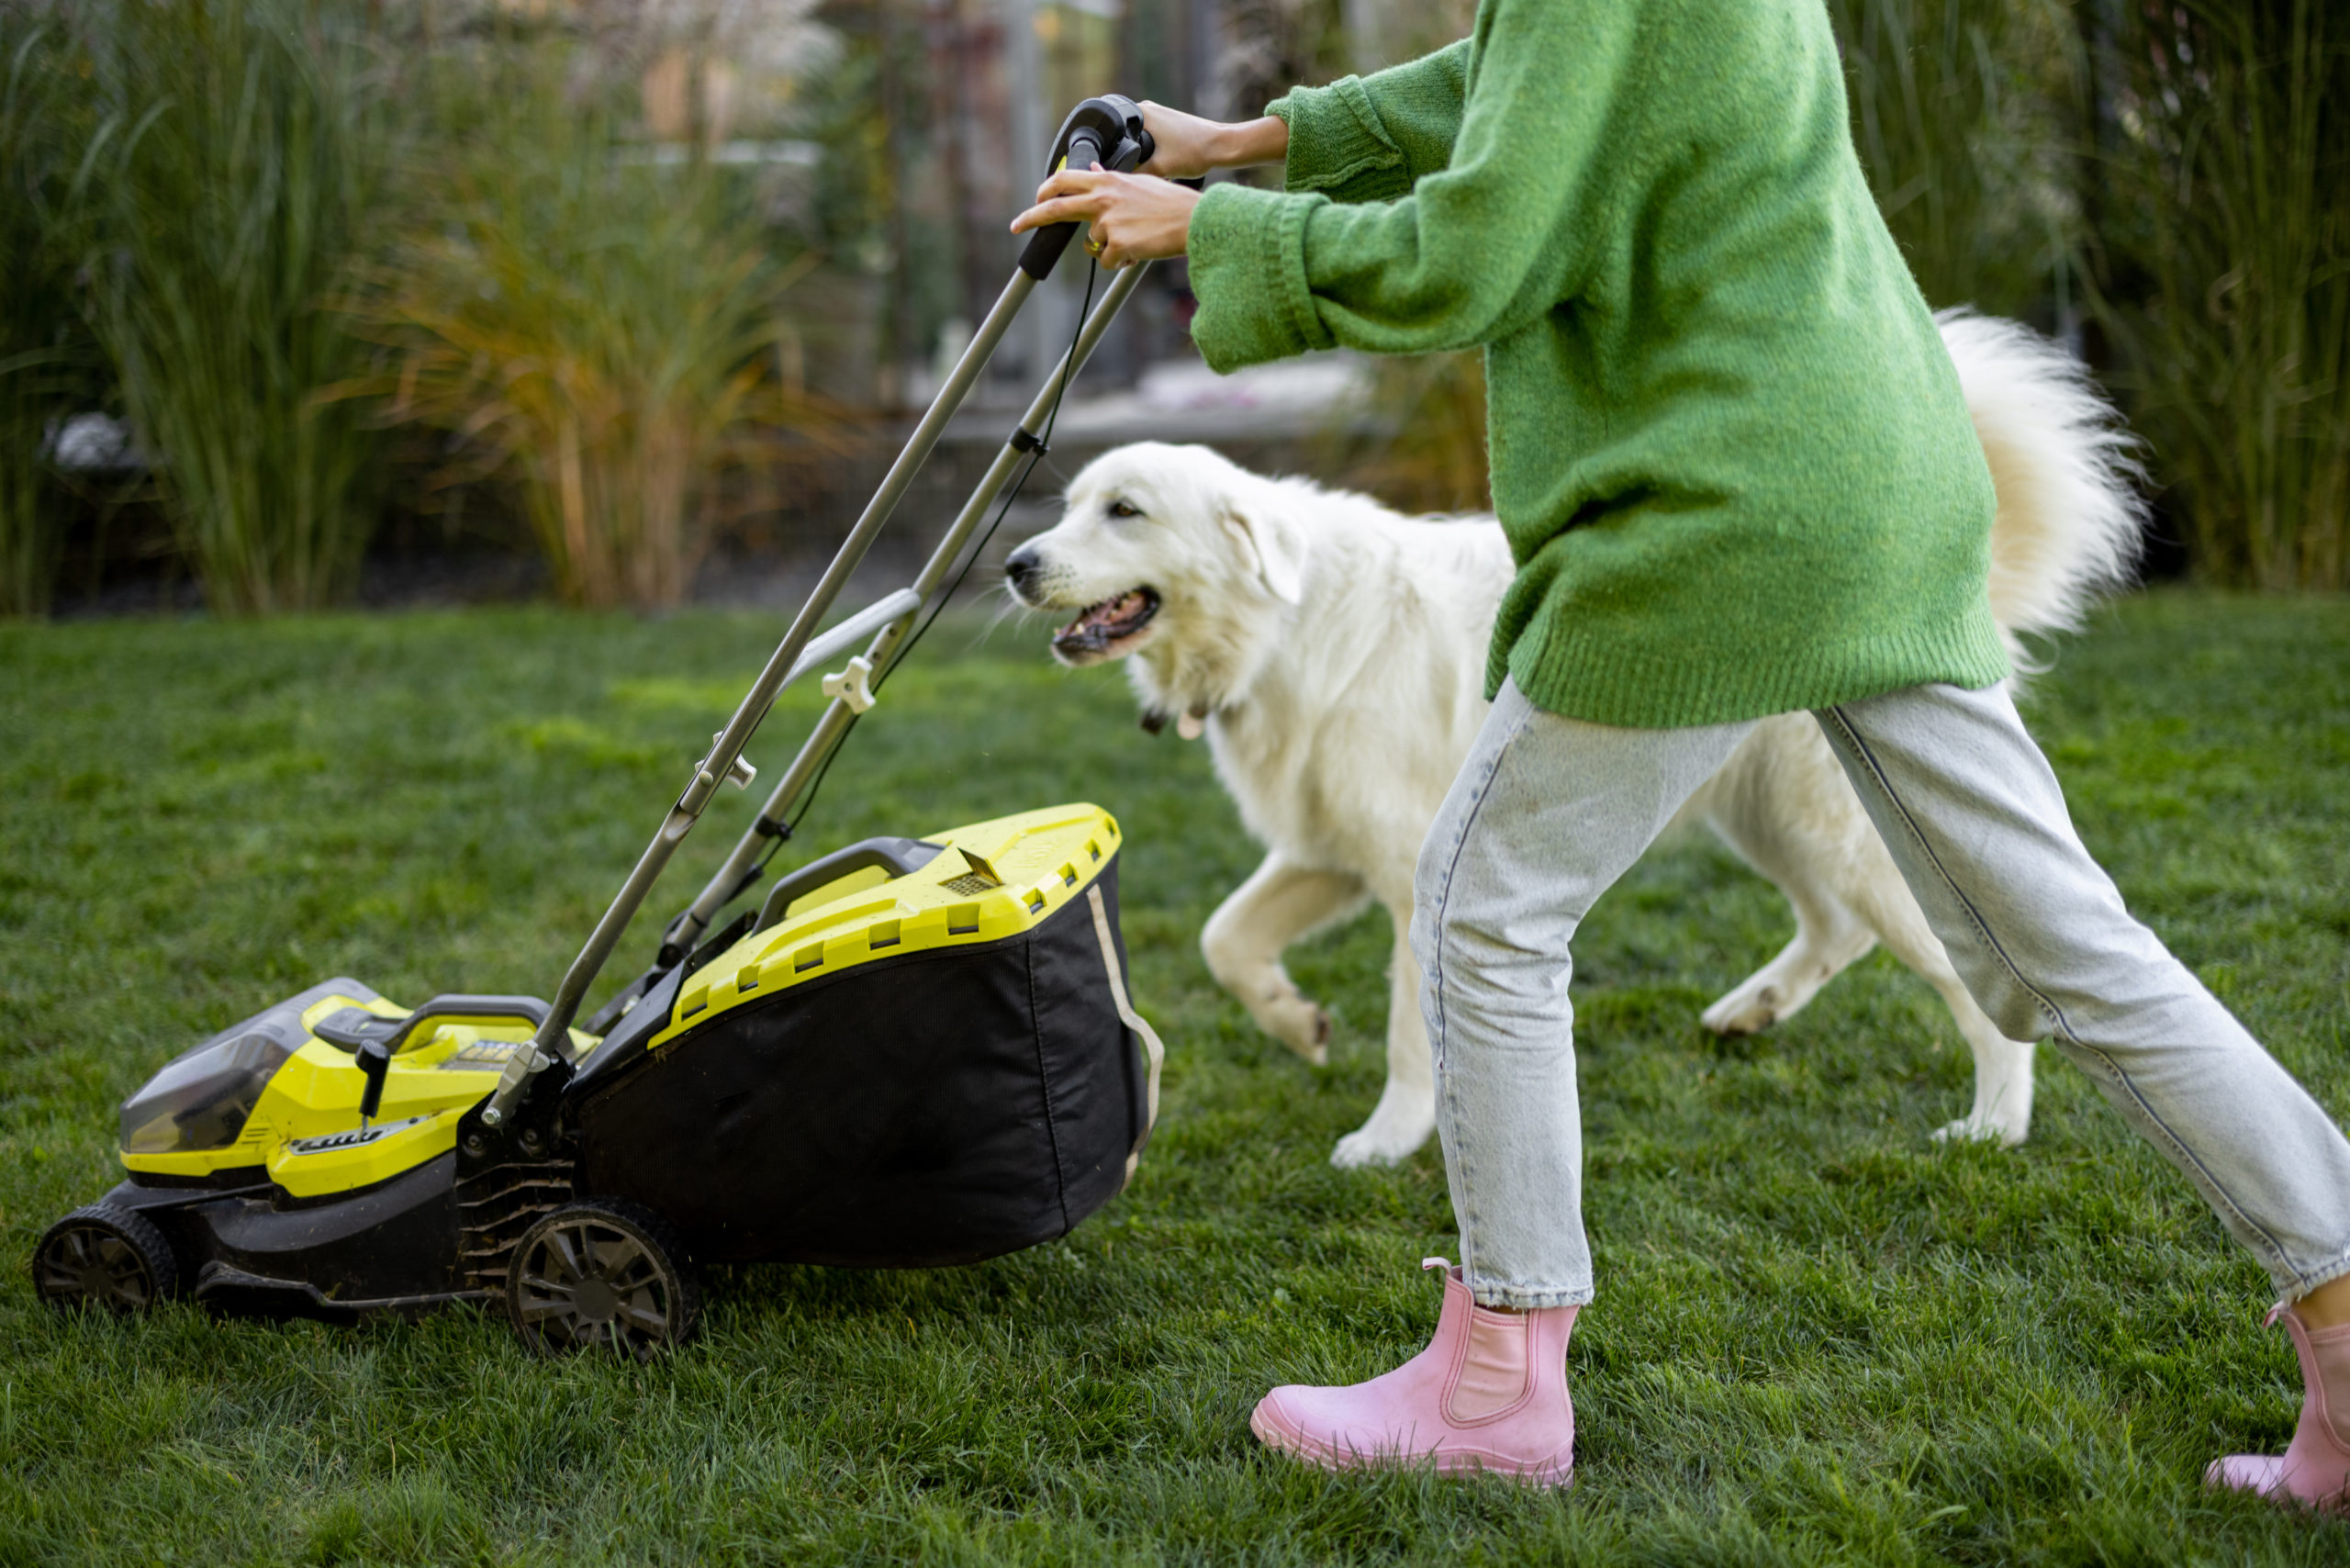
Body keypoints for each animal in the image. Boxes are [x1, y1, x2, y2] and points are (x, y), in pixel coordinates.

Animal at [1001, 312, 2143, 1166]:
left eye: (1125, 511)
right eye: (1071, 506)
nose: (1015, 564)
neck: (1282, 626)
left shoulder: (1411, 874)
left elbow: (1407, 1031)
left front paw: (1389, 1137)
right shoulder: (1322, 852)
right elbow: (1224, 939)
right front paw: (1297, 1022)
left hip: (1841, 834)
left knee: (1971, 987)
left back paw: (1993, 1123)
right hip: (1767, 818)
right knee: (1833, 930)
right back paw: (1751, 1011)